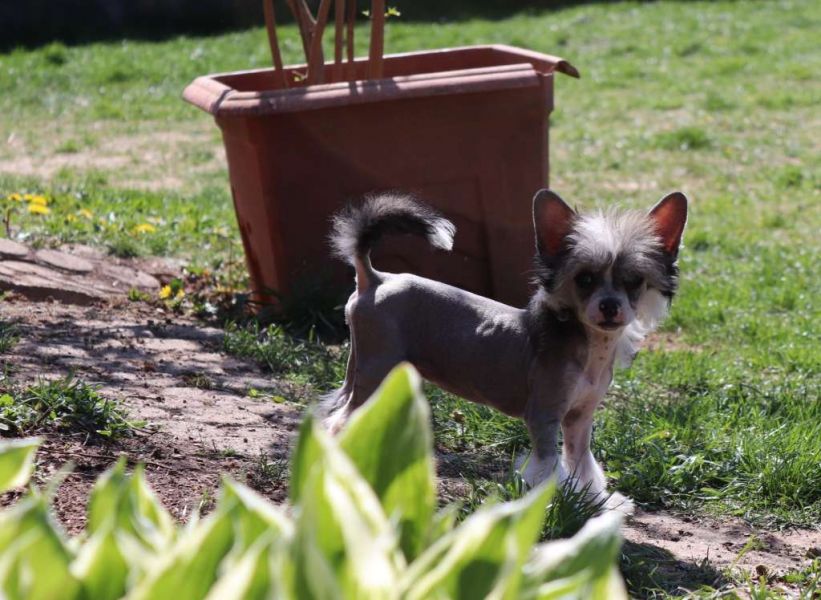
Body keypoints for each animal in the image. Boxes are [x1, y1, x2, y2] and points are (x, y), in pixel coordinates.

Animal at [322, 189, 687, 511]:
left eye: (634, 281)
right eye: (584, 279)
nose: (610, 306)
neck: (589, 347)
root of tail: (375, 279)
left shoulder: (579, 420)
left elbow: (581, 462)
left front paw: (595, 502)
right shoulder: (543, 416)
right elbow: (549, 467)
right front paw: (556, 505)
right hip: (377, 370)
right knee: (341, 422)